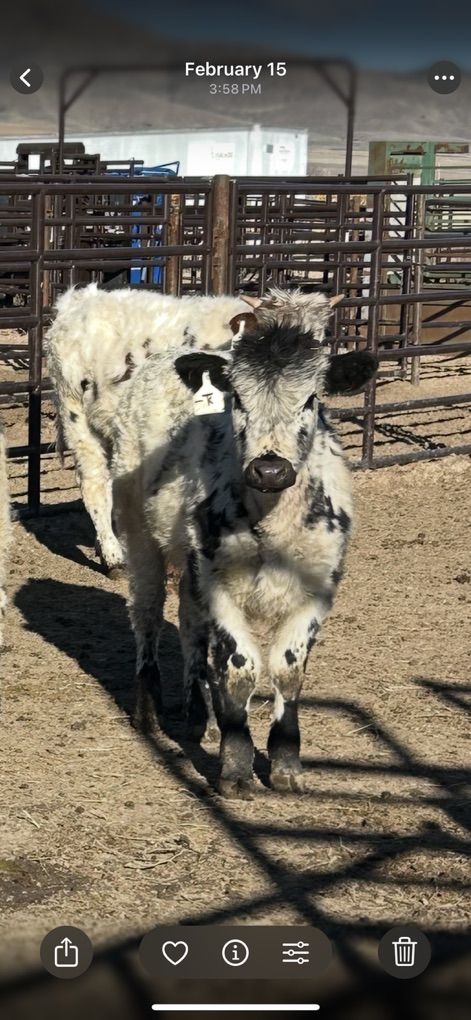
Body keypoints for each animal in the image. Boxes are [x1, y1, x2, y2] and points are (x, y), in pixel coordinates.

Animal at [111, 290, 377, 798]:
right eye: (237, 396)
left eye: (312, 398)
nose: (269, 469)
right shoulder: (219, 583)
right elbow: (240, 668)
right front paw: (235, 765)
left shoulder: (319, 586)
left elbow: (288, 670)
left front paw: (285, 762)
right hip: (140, 534)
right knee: (148, 614)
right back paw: (150, 709)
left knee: (190, 625)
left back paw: (201, 716)